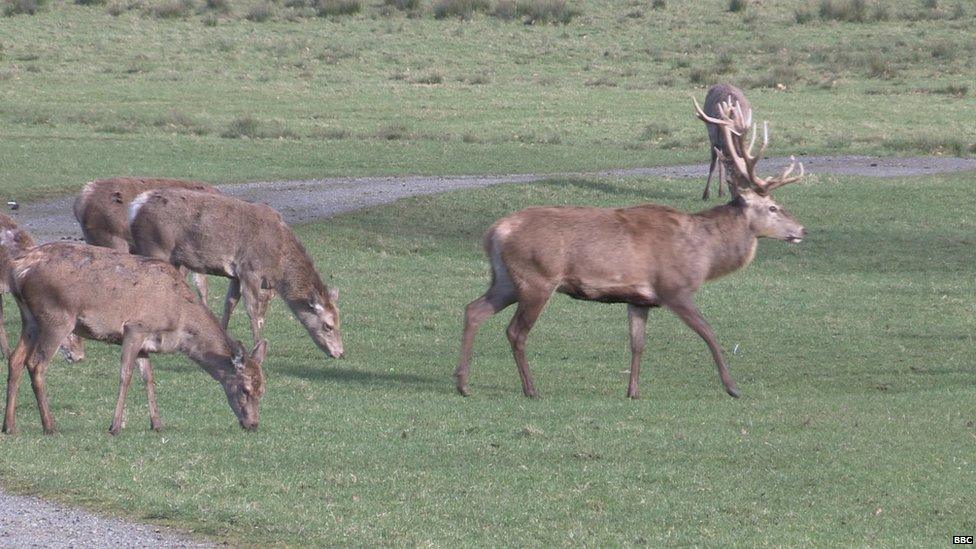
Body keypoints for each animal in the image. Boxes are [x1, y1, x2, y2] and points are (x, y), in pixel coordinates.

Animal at [0, 238, 266, 434]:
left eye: (262, 389)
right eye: (245, 389)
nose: (253, 424)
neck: (178, 321)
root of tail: (18, 268)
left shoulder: (146, 344)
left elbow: (148, 378)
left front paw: (157, 424)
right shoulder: (135, 327)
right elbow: (125, 375)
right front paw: (115, 426)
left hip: (30, 319)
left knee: (15, 359)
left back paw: (9, 426)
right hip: (56, 317)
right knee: (36, 364)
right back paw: (50, 425)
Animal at [127, 191, 346, 358]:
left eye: (339, 322)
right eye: (328, 325)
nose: (340, 353)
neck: (279, 261)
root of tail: (135, 207)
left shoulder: (235, 276)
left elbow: (230, 304)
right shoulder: (249, 269)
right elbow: (253, 311)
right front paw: (258, 347)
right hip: (156, 247)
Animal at [454, 98, 804, 398]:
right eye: (773, 207)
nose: (801, 230)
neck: (703, 254)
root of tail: (494, 232)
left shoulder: (640, 299)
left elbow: (637, 344)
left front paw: (633, 391)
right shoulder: (673, 288)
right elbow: (708, 332)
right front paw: (732, 387)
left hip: (506, 279)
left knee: (474, 309)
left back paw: (463, 383)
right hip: (536, 278)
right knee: (515, 331)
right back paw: (530, 389)